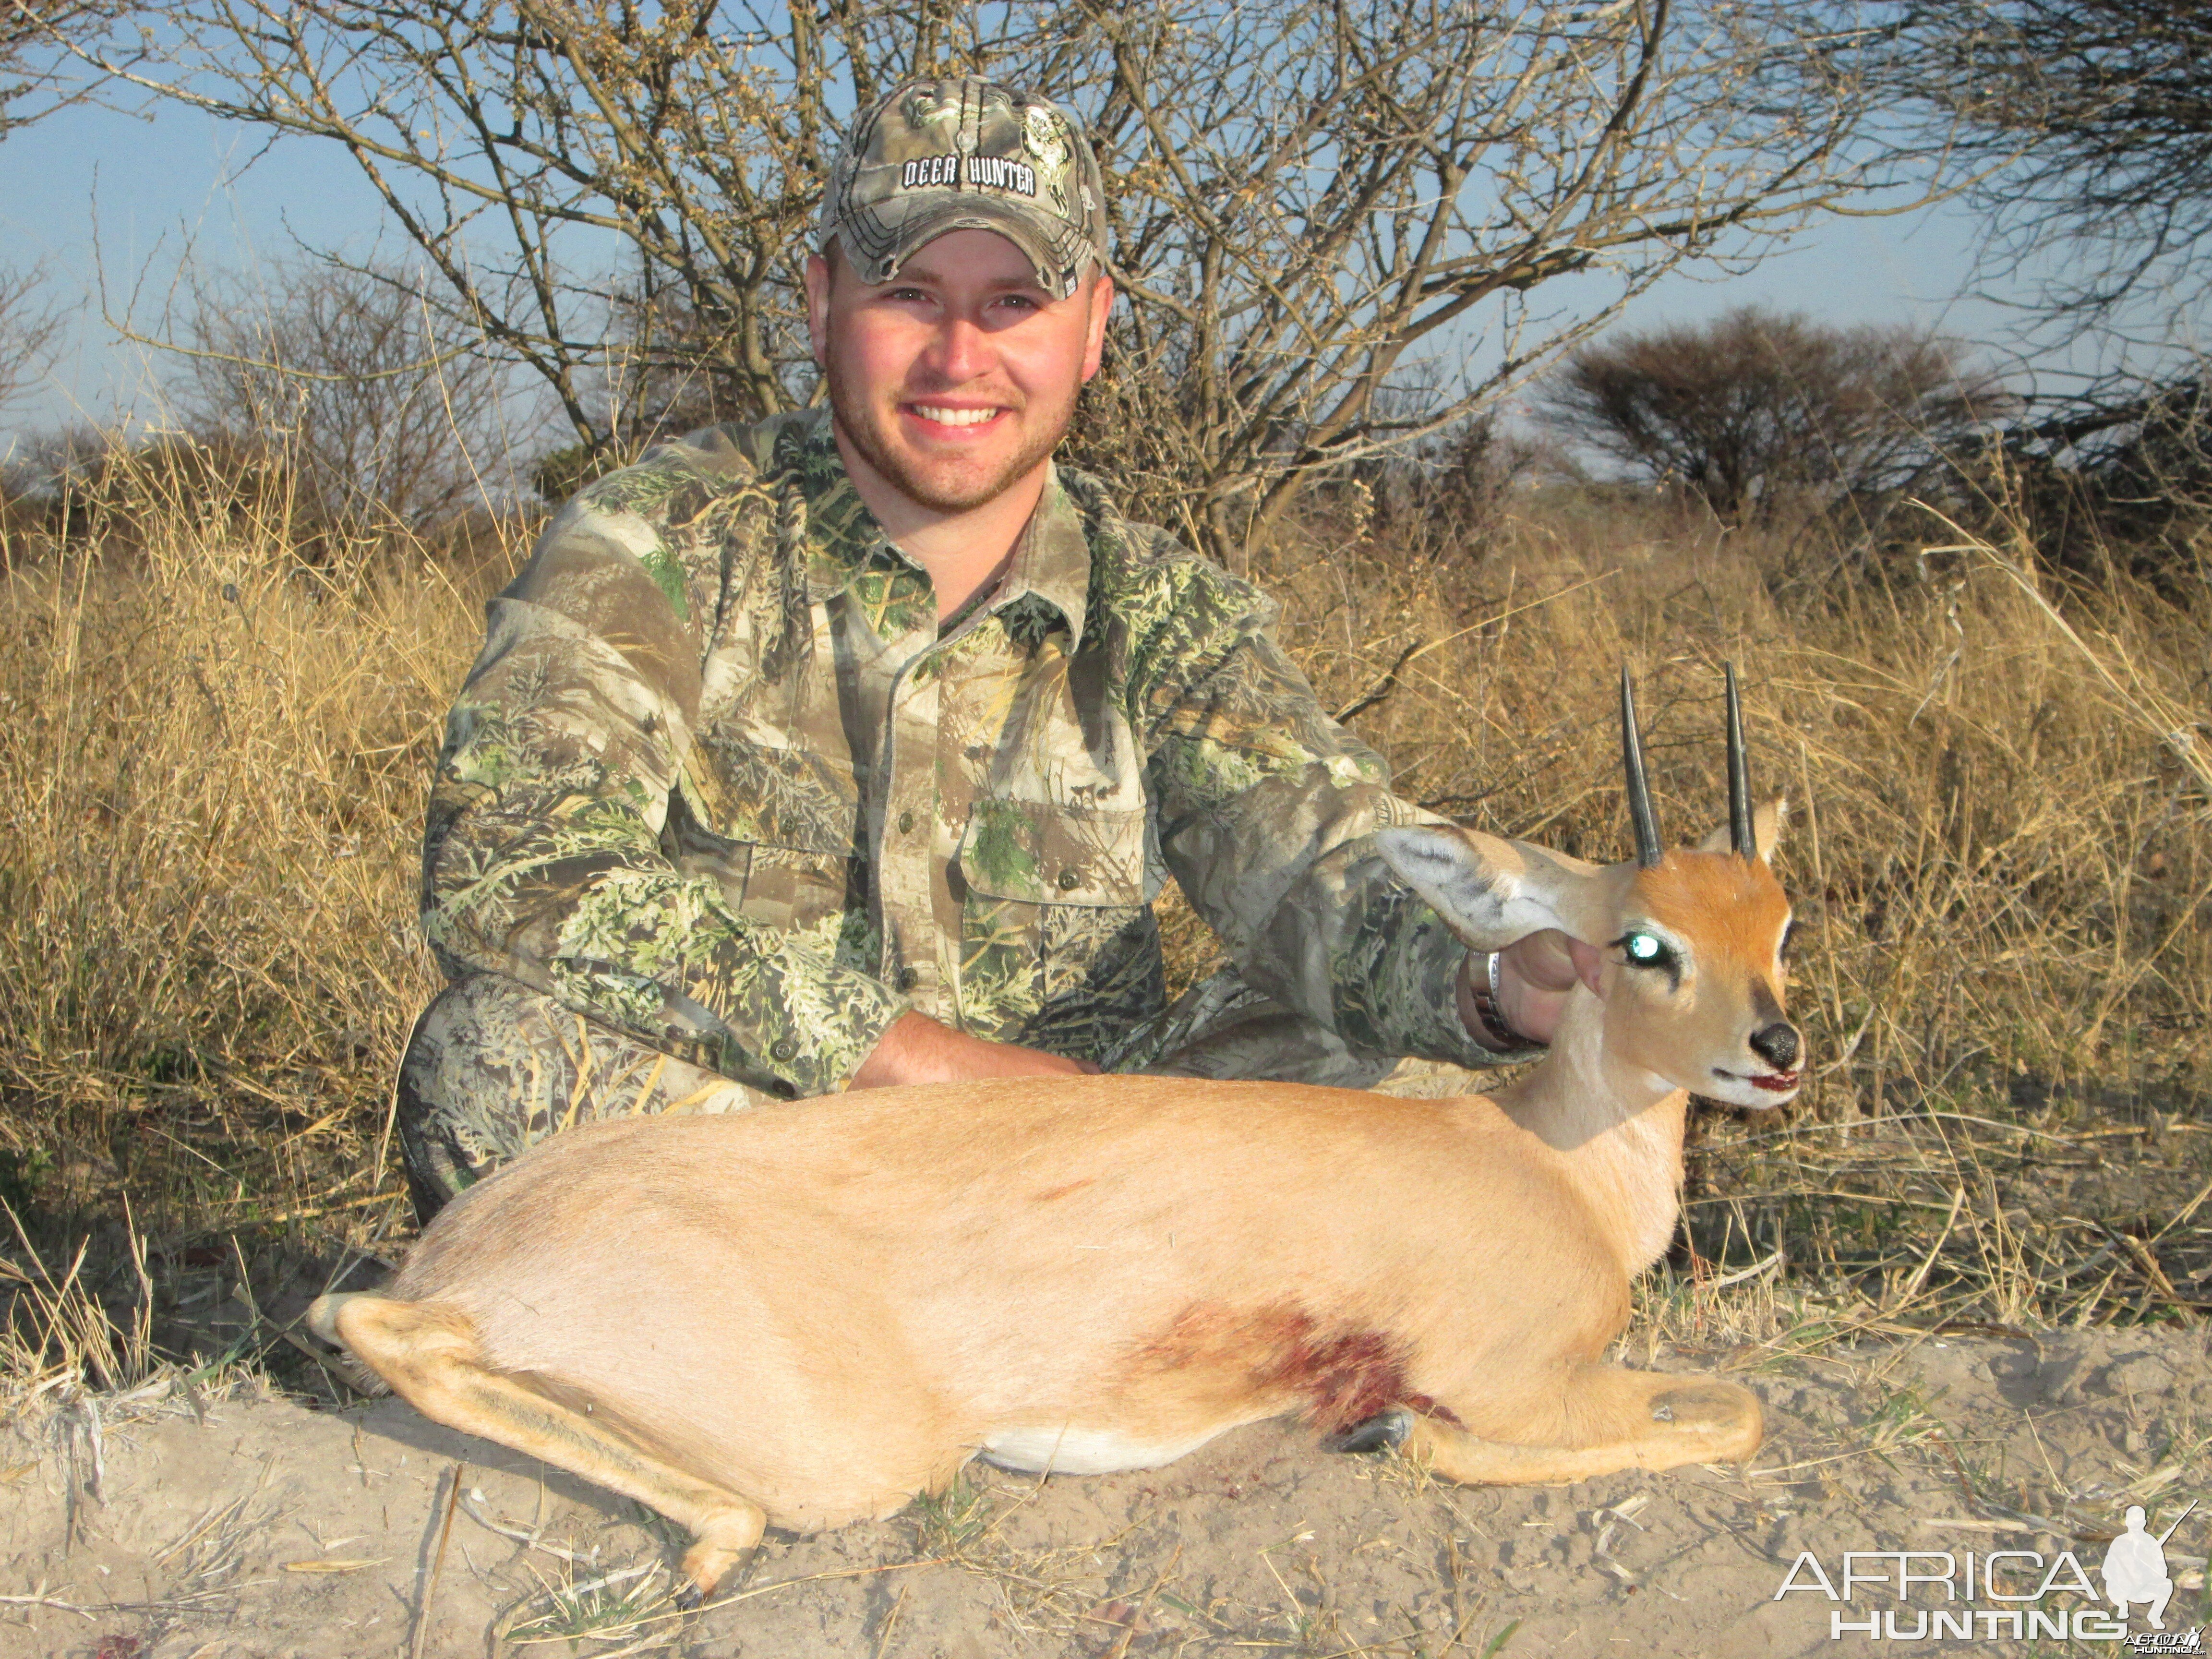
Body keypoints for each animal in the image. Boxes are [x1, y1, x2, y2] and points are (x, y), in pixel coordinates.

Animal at [312, 663, 1796, 1610]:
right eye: (1642, 942)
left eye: (1782, 918)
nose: (1775, 1049)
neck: (1550, 1167)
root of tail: (473, 1241)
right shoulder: (1519, 1379)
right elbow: (1735, 1412)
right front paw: (1393, 1437)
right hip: (847, 1451)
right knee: (395, 1336)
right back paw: (709, 1550)